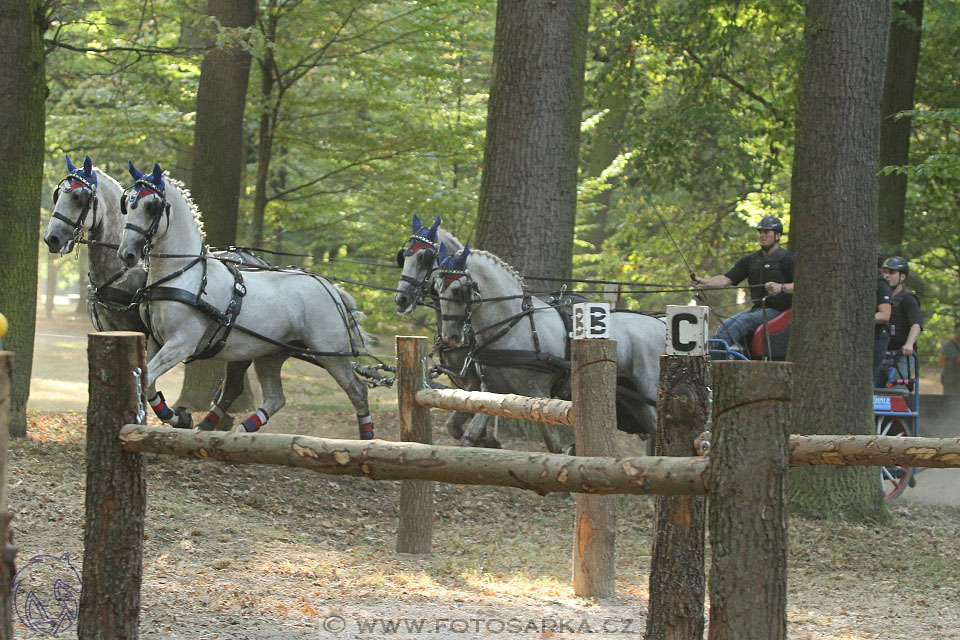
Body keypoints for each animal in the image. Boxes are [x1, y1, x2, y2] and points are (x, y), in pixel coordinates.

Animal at [116, 162, 376, 438]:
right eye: (128, 204)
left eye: (151, 206)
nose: (127, 253)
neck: (183, 274)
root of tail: (330, 287)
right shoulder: (156, 341)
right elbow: (148, 382)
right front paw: (179, 418)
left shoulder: (180, 344)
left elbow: (146, 377)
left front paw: (178, 417)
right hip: (271, 353)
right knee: (275, 399)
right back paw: (239, 431)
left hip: (330, 352)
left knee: (357, 391)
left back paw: (367, 439)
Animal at [434, 242, 664, 452]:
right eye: (436, 288)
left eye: (458, 290)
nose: (451, 337)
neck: (514, 324)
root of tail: (660, 325)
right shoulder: (491, 389)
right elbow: (466, 432)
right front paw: (487, 442)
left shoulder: (539, 391)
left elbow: (553, 444)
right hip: (632, 399)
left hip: (648, 391)